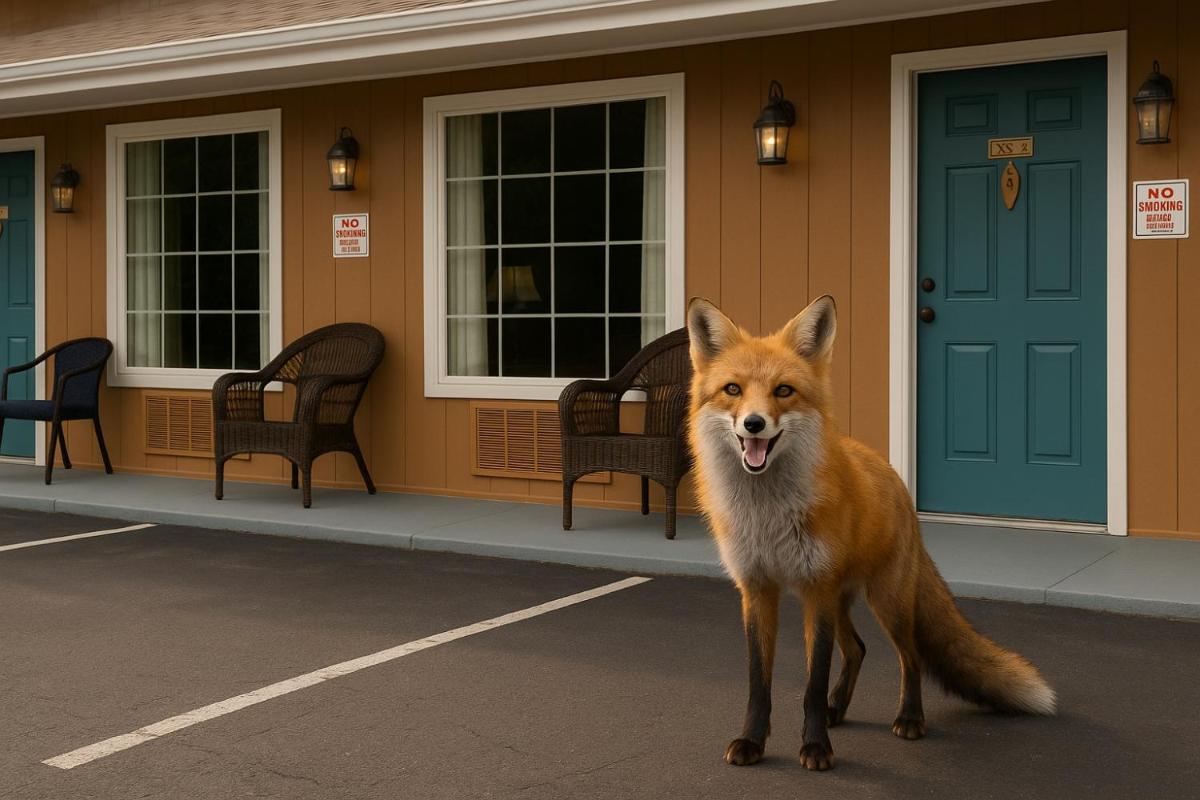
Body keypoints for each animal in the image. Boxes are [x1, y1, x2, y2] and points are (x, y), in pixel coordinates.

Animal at [685, 295, 1056, 772]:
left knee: (909, 655)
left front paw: (816, 747)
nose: (753, 424)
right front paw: (752, 741)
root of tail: (893, 475)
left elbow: (812, 683)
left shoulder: (815, 588)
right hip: (840, 600)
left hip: (885, 600)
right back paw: (838, 708)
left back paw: (910, 718)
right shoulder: (757, 589)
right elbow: (758, 682)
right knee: (858, 649)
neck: (768, 516)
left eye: (783, 391)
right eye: (733, 389)